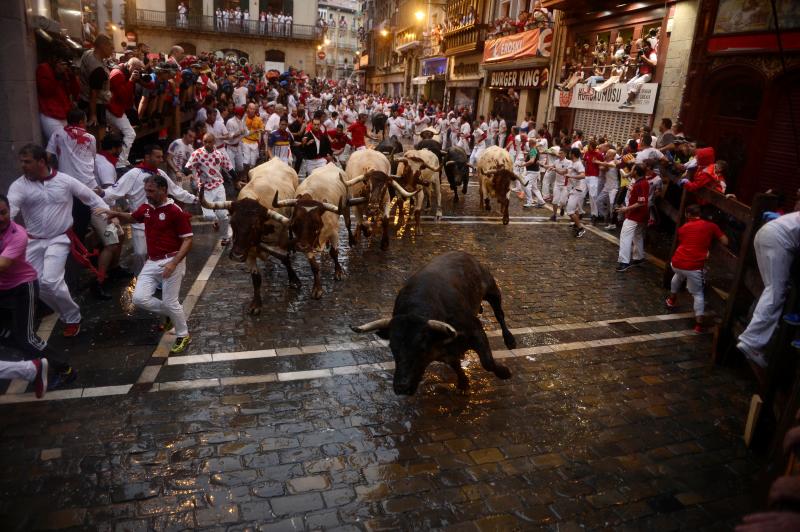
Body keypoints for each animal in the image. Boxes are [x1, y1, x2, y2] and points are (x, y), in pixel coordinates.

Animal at [352, 250, 516, 394]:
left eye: (421, 348)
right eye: (393, 347)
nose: (402, 387)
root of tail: (464, 254)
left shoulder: (476, 331)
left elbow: (487, 362)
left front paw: (504, 372)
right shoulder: (445, 355)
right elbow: (456, 366)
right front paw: (463, 383)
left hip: (492, 290)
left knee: (500, 315)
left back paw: (510, 340)